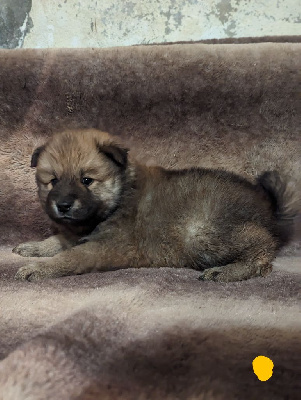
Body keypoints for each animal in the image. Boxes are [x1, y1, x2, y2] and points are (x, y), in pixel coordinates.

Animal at [13, 130, 296, 282]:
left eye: (86, 180)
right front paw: (33, 247)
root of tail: (267, 206)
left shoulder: (106, 247)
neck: (120, 196)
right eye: (53, 181)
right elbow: (58, 241)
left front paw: (40, 268)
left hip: (201, 232)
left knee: (262, 248)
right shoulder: (79, 231)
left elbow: (70, 256)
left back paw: (226, 272)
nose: (63, 205)